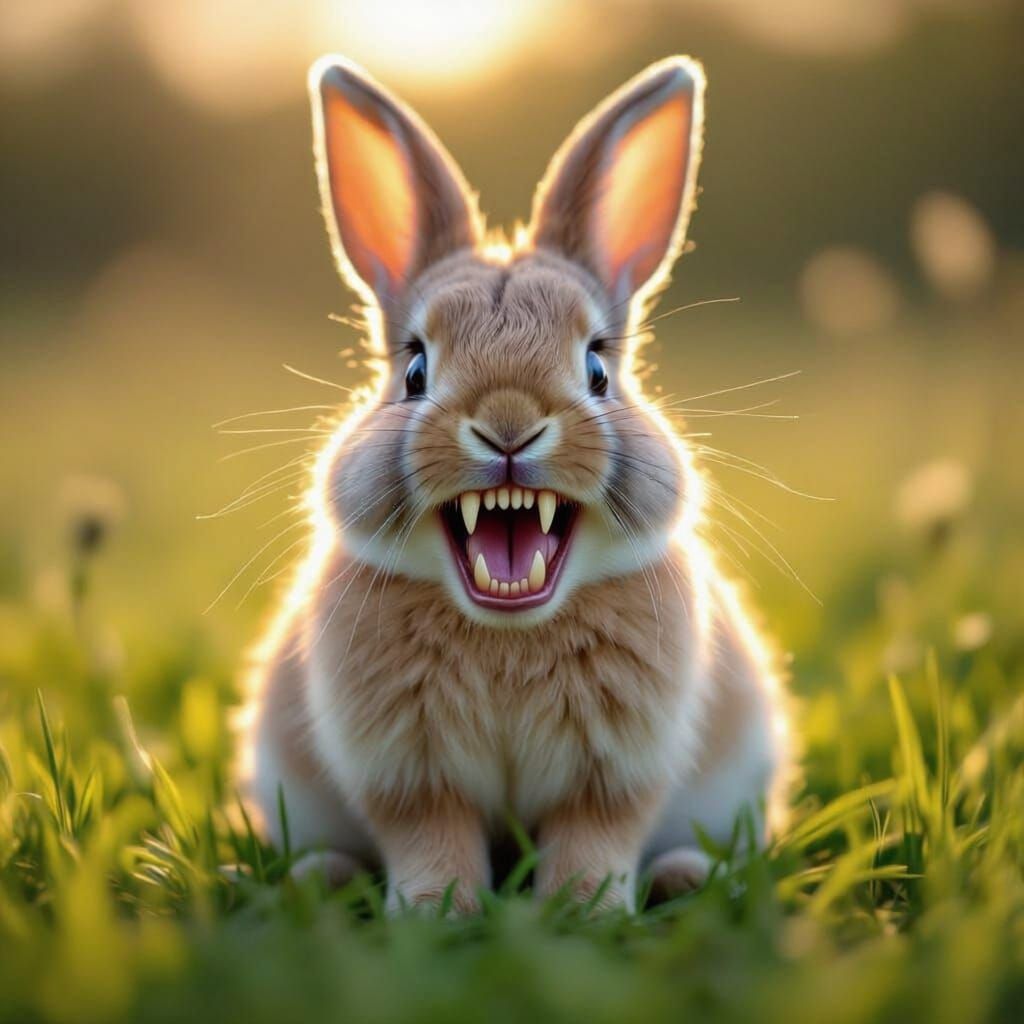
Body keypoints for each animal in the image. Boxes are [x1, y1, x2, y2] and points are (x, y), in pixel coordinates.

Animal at [236, 54, 793, 913]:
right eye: (415, 370)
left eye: (597, 369)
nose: (507, 424)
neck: (507, 630)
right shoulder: (410, 777)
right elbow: (432, 838)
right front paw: (436, 912)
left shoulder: (614, 777)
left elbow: (593, 838)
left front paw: (582, 911)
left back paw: (686, 877)